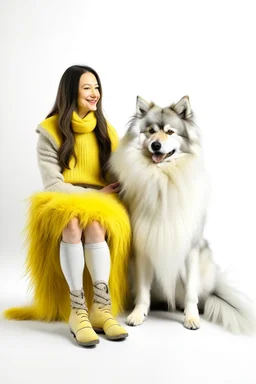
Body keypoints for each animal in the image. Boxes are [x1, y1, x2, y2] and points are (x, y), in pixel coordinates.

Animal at [109, 95, 255, 332]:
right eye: (150, 131)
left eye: (170, 132)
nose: (156, 145)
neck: (163, 178)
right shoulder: (142, 249)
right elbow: (143, 291)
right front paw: (138, 314)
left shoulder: (190, 250)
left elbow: (191, 293)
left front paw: (191, 317)